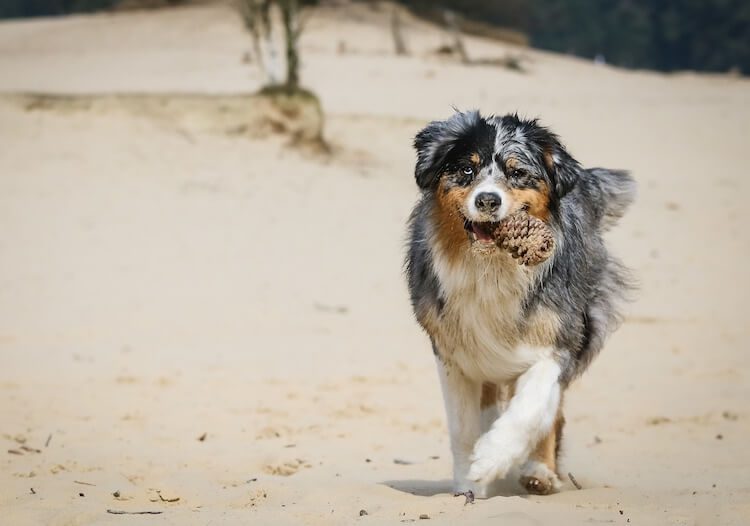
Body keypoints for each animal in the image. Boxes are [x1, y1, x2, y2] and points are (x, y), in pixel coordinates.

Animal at [406, 111, 636, 500]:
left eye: (517, 173)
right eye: (466, 170)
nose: (487, 200)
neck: (492, 268)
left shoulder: (558, 341)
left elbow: (530, 409)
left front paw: (492, 458)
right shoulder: (453, 352)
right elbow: (462, 427)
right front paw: (469, 482)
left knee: (550, 412)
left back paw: (538, 471)